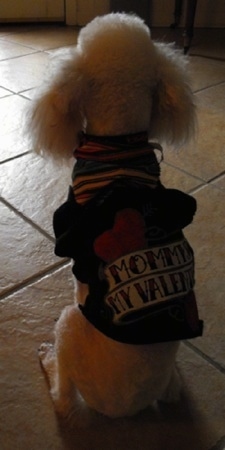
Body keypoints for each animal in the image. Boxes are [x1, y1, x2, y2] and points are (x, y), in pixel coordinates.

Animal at [28, 13, 204, 418]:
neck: (118, 145)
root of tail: (126, 407)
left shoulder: (67, 234)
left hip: (69, 325)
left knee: (63, 398)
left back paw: (48, 362)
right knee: (173, 390)